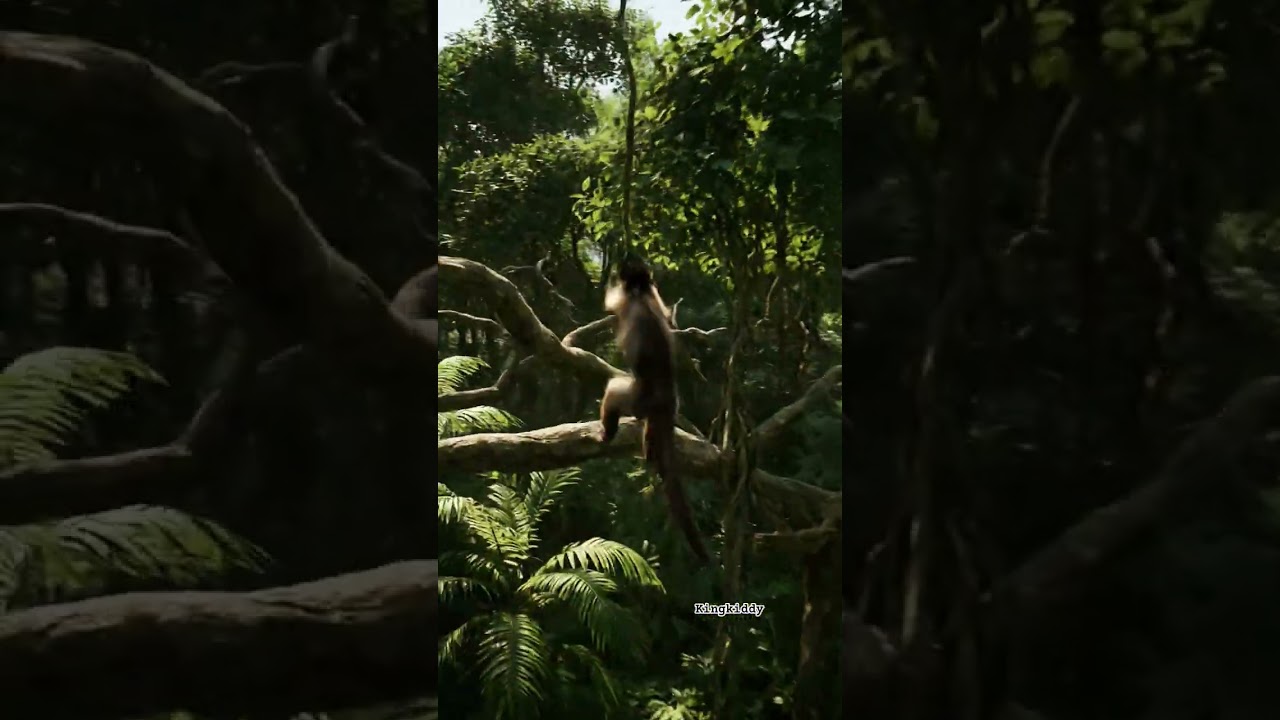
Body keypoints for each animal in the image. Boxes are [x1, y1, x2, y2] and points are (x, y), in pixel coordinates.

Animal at [599, 255, 710, 564]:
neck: (641, 293)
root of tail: (666, 396)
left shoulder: (628, 298)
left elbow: (611, 303)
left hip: (639, 396)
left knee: (615, 390)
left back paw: (609, 428)